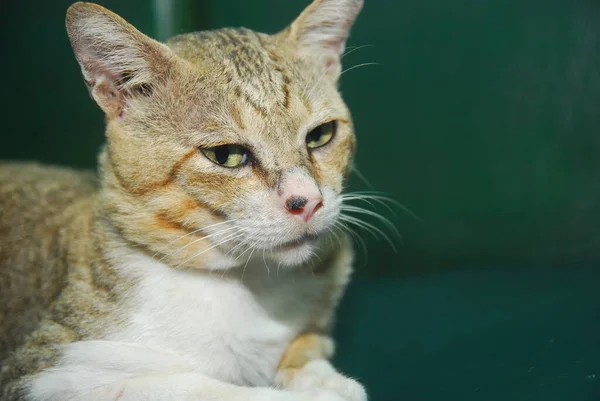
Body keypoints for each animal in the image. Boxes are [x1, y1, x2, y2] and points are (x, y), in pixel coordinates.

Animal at [0, 0, 368, 400]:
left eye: (320, 135)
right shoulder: (49, 372)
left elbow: (306, 346)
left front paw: (321, 377)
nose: (309, 201)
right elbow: (207, 387)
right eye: (226, 155)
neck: (248, 284)